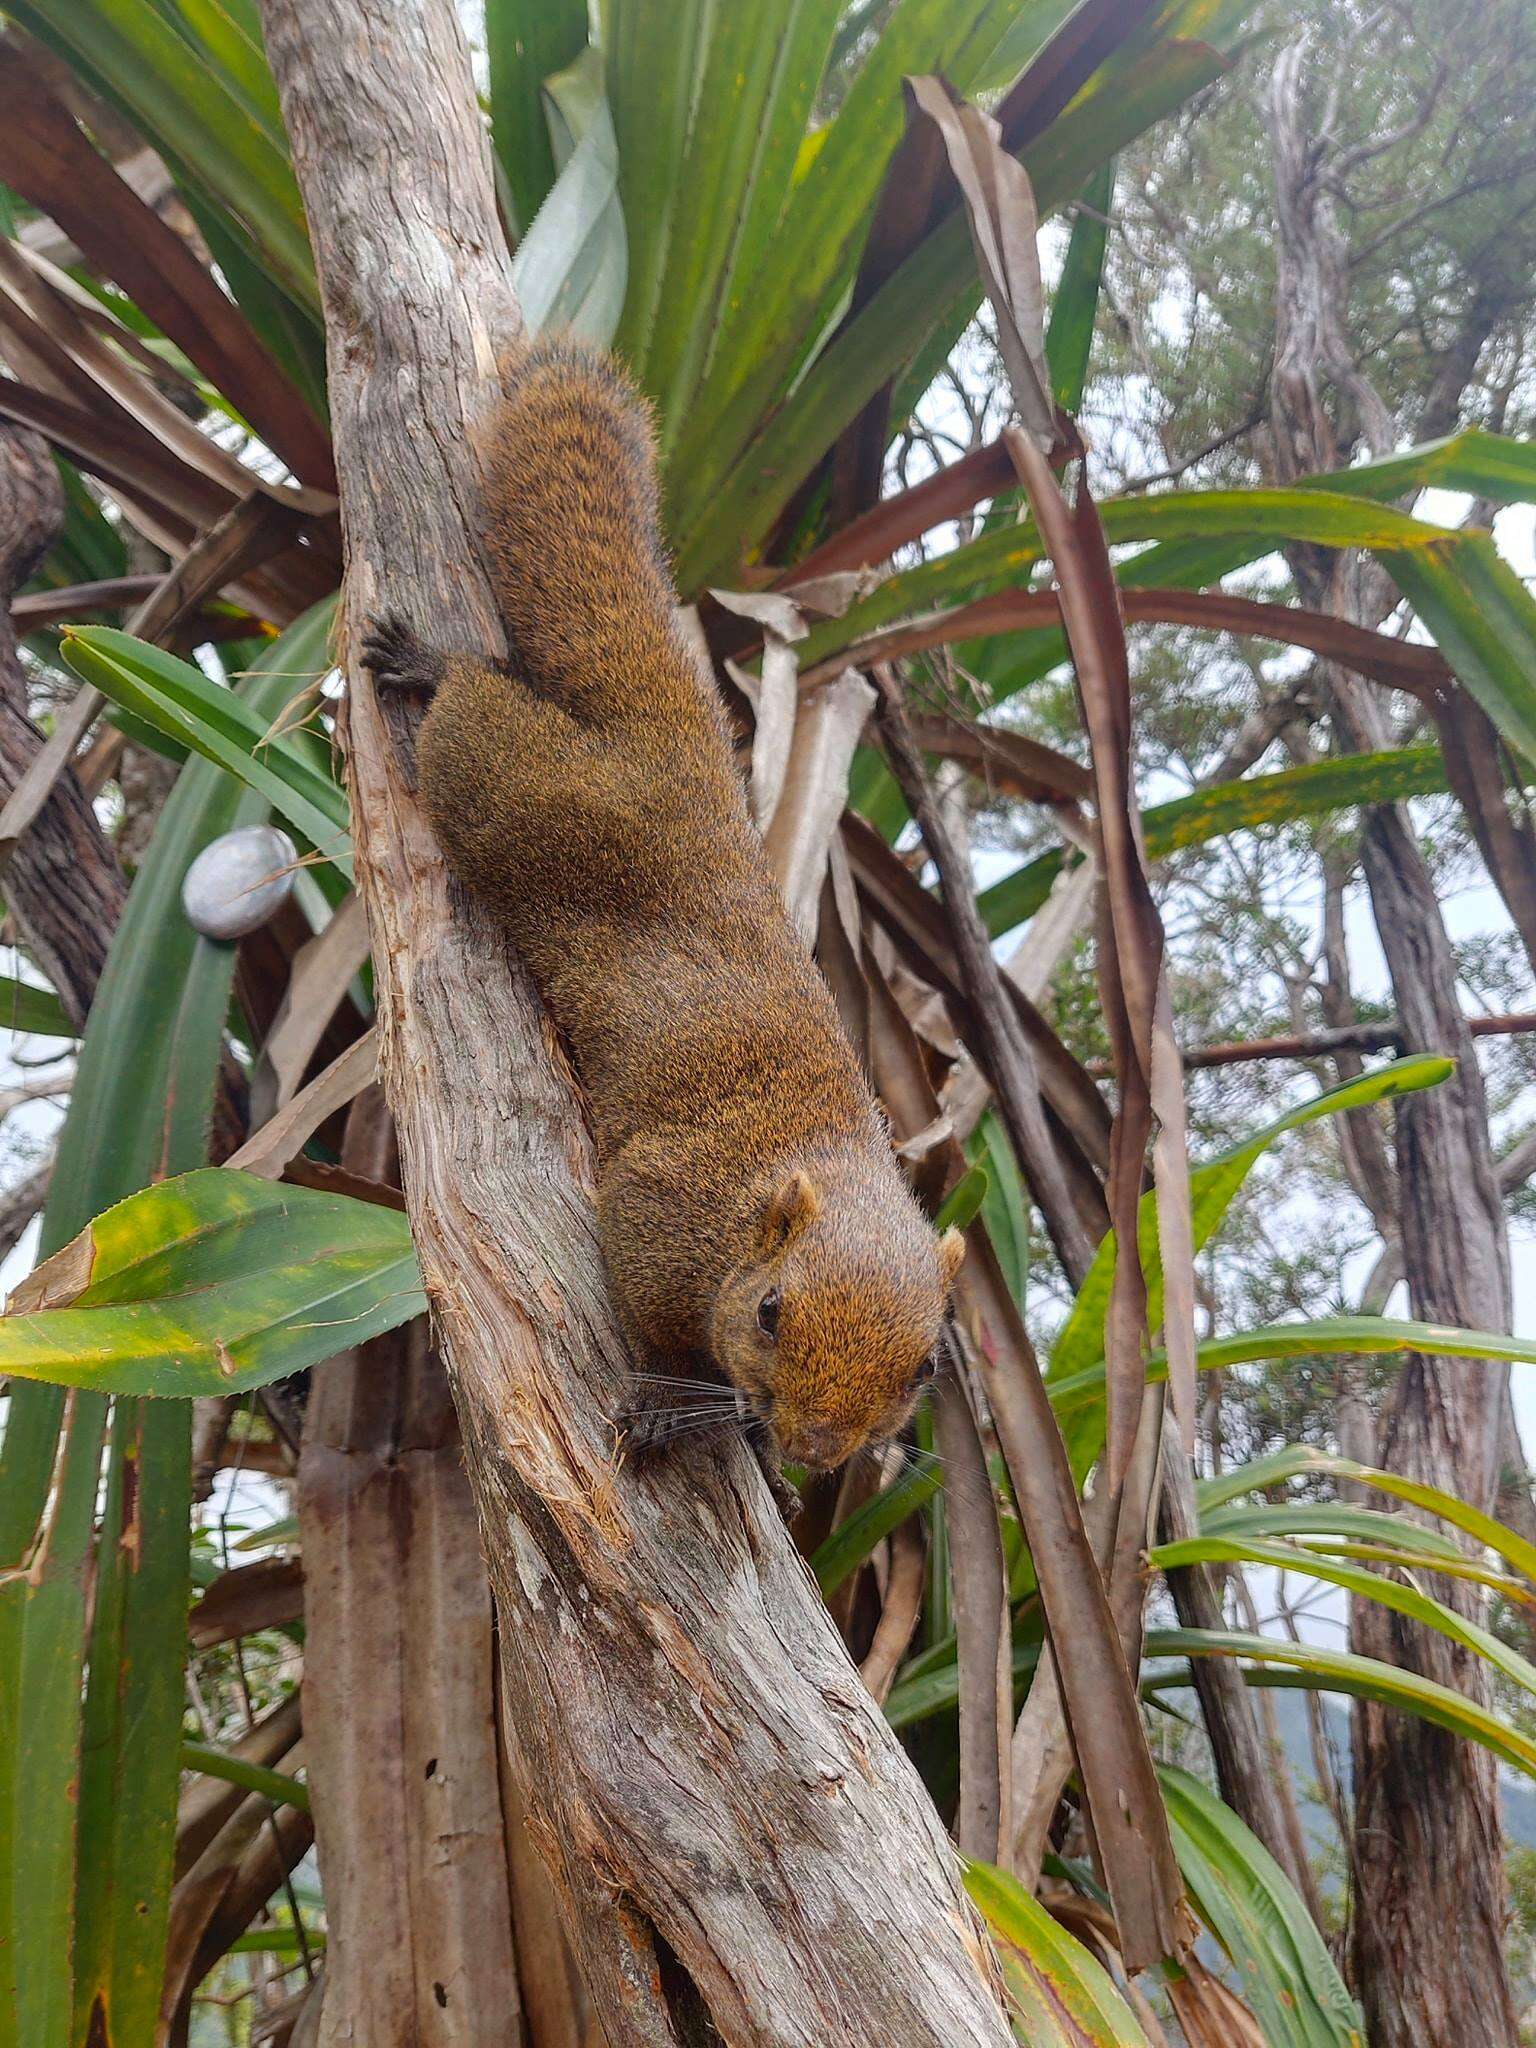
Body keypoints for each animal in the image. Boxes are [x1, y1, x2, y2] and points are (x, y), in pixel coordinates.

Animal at [362, 344, 962, 1482]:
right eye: (771, 1311)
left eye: (923, 1373)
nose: (816, 1447)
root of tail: (678, 748)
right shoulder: (655, 1210)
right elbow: (650, 1322)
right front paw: (666, 1403)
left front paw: (735, 1432)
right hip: (516, 788)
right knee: (473, 705)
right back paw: (429, 659)